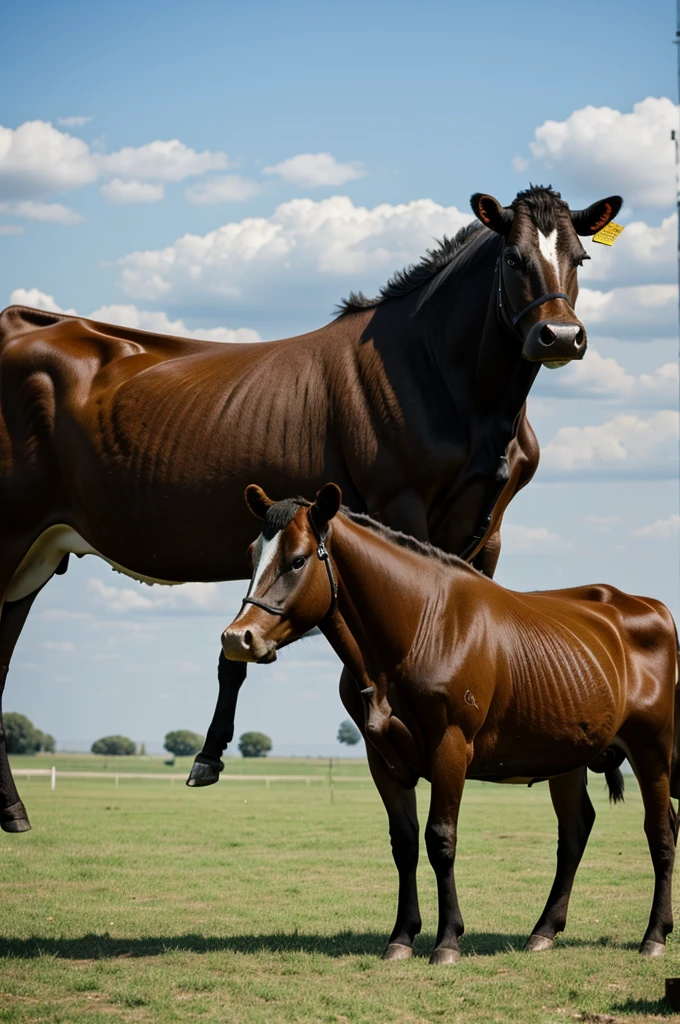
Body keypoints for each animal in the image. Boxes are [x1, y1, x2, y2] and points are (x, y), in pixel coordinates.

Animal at [0, 186, 620, 833]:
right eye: (512, 258)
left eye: (580, 257)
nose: (559, 336)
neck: (446, 384)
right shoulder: (399, 510)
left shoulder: (489, 531)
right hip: (9, 534)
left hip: (38, 555)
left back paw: (14, 811)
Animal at [220, 483, 679, 964]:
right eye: (252, 554)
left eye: (297, 559)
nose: (239, 639)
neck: (424, 625)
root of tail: (653, 609)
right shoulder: (381, 759)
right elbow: (404, 843)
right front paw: (402, 937)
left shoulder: (451, 747)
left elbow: (441, 840)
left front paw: (447, 941)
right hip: (567, 757)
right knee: (575, 832)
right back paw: (544, 931)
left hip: (652, 750)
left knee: (661, 832)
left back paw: (654, 936)